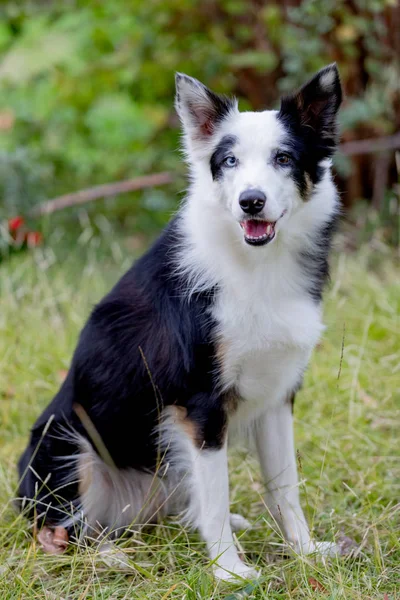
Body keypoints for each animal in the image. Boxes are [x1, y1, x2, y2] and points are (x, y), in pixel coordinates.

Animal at [18, 64, 342, 580]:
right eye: (228, 161)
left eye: (284, 158)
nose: (251, 202)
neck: (254, 265)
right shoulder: (199, 405)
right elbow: (216, 496)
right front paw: (230, 572)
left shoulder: (277, 395)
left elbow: (285, 486)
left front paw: (305, 550)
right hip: (68, 443)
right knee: (61, 530)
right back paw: (108, 556)